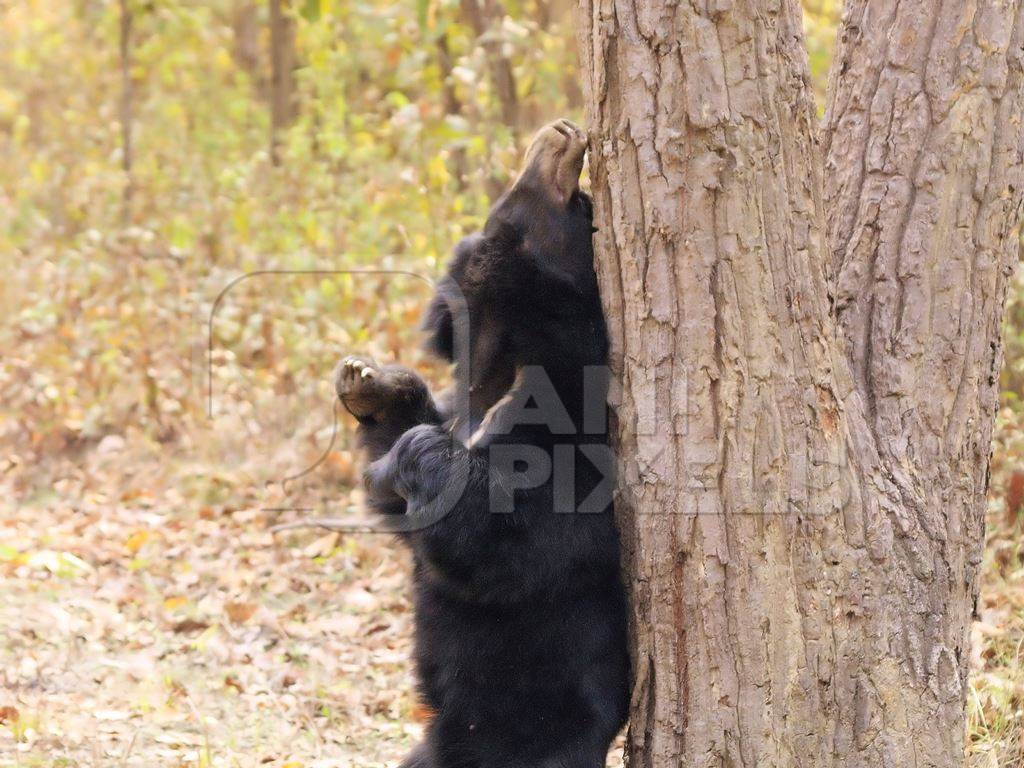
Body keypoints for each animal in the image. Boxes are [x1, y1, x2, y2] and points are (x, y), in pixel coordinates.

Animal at [331, 118, 626, 768]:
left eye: (582, 206)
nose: (565, 129)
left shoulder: (569, 435)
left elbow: (509, 532)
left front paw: (420, 454)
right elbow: (398, 500)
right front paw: (369, 383)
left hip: (524, 727)